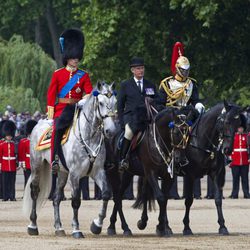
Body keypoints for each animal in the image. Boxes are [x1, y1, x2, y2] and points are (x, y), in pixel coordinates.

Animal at [22, 82, 116, 238]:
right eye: (101, 103)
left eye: (115, 102)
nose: (111, 131)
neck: (89, 137)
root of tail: (39, 123)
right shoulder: (75, 174)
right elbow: (76, 201)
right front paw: (76, 229)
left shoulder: (98, 172)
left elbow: (106, 194)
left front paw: (97, 225)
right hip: (37, 165)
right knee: (35, 191)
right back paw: (32, 226)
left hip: (62, 172)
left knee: (56, 197)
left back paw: (59, 227)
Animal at [102, 105, 198, 236]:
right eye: (176, 132)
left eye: (188, 133)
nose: (181, 160)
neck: (158, 141)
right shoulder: (151, 173)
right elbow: (160, 197)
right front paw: (161, 227)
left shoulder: (168, 176)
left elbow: (164, 199)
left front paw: (160, 226)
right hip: (114, 173)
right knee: (117, 197)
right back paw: (123, 227)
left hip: (127, 175)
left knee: (120, 196)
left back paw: (115, 226)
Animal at [135, 100, 246, 235]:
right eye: (226, 122)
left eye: (238, 124)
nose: (227, 150)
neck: (203, 142)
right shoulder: (190, 176)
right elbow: (188, 200)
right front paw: (187, 227)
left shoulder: (216, 173)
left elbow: (218, 199)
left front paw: (222, 226)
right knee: (149, 193)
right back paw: (152, 224)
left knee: (157, 195)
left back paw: (159, 225)